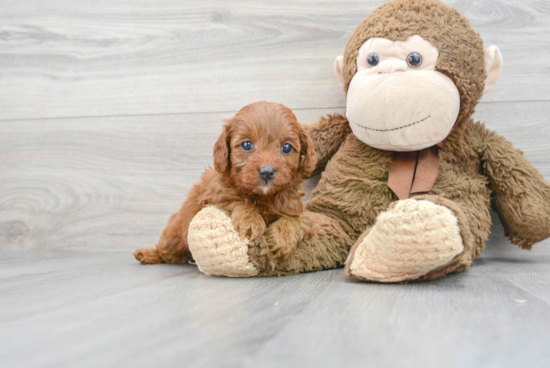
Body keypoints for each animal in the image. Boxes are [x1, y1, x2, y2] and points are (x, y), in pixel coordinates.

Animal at [133, 101, 320, 264]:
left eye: (286, 148)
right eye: (247, 145)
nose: (266, 172)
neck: (263, 197)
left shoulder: (294, 209)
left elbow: (297, 221)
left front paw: (282, 238)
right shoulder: (213, 198)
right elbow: (237, 201)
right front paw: (250, 220)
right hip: (174, 236)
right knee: (166, 252)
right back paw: (147, 254)